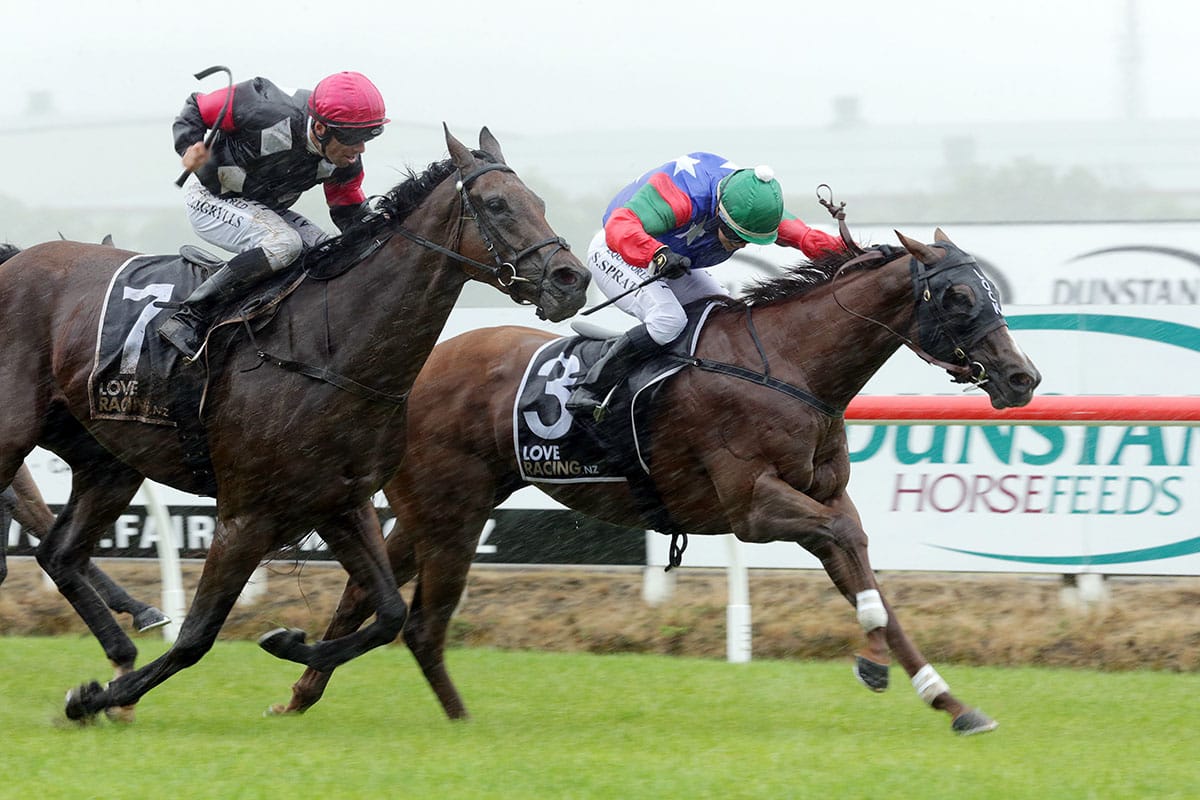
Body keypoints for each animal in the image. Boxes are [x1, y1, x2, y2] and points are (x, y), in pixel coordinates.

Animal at [0, 125, 590, 723]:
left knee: (58, 553)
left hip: (108, 462)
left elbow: (389, 613)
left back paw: (122, 648)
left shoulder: (340, 503)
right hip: (13, 436)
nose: (573, 278)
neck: (330, 351)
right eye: (496, 204)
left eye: (540, 203)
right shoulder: (246, 515)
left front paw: (288, 645)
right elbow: (196, 636)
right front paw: (98, 697)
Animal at [271, 229, 1041, 735]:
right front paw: (872, 662)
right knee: (422, 625)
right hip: (450, 514)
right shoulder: (754, 508)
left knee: (362, 594)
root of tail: (412, 371)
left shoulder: (820, 496)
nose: (1022, 377)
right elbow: (850, 546)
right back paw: (452, 720)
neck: (789, 364)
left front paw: (947, 699)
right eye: (960, 297)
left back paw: (300, 689)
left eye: (987, 291)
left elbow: (865, 571)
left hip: (433, 511)